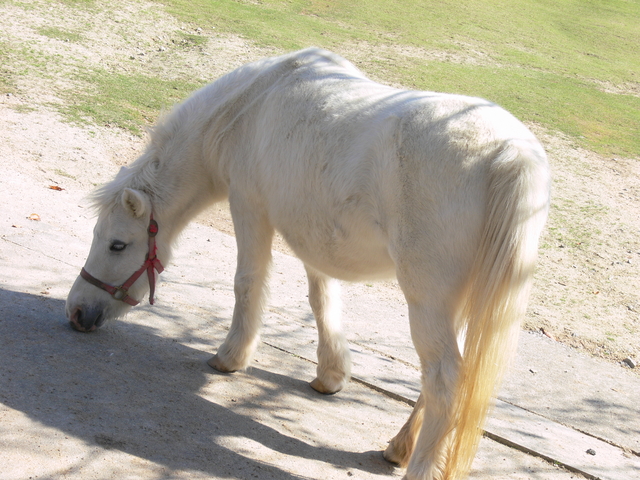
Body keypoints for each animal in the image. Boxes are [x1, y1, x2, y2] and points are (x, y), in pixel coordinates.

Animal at [67, 48, 552, 480]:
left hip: (427, 298)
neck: (249, 106)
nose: (76, 312)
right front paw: (331, 374)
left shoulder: (249, 208)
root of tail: (509, 152)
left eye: (116, 245)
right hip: (459, 299)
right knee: (450, 378)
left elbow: (248, 282)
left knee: (445, 379)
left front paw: (231, 357)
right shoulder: (313, 236)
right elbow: (323, 299)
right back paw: (399, 447)